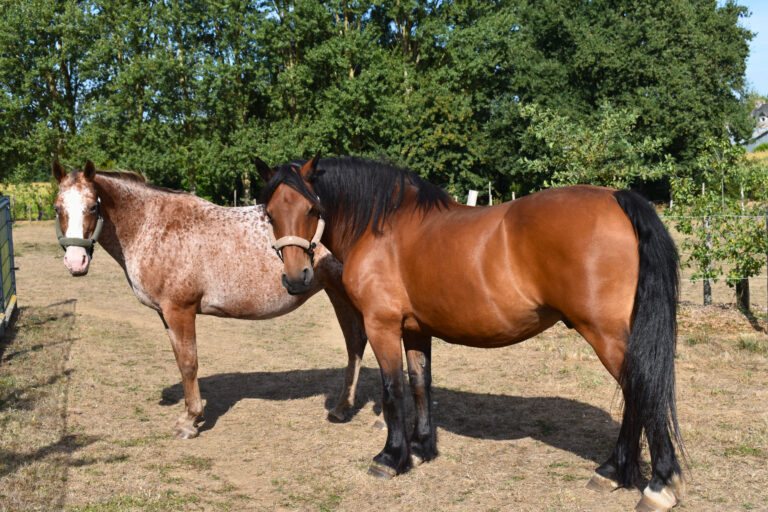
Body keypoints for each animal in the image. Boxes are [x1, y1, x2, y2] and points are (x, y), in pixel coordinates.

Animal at [52, 159, 369, 439]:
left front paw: (190, 421)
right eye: (57, 208)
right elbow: (181, 361)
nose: (75, 261)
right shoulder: (165, 314)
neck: (152, 225)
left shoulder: (180, 311)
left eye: (93, 206)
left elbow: (189, 363)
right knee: (355, 343)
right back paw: (341, 408)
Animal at [256, 154, 685, 512]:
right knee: (636, 394)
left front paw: (390, 458)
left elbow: (393, 390)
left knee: (642, 390)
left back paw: (657, 485)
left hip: (604, 334)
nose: (296, 278)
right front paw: (420, 448)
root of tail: (615, 197)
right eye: (270, 213)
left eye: (312, 208)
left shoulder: (382, 325)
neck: (381, 228)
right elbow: (420, 384)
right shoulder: (416, 330)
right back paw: (614, 472)